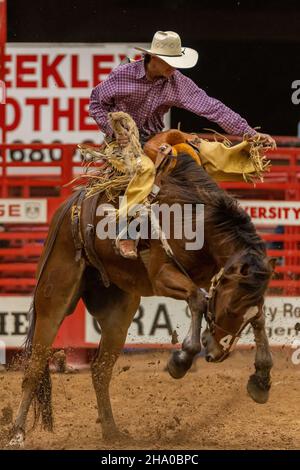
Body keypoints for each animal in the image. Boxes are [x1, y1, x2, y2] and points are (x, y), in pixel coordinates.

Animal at [8, 152, 276, 446]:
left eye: (243, 315)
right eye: (230, 309)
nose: (217, 354)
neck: (196, 217)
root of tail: (69, 208)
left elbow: (256, 317)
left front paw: (261, 378)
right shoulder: (162, 275)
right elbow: (197, 299)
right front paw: (181, 359)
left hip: (118, 311)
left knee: (100, 370)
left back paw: (112, 431)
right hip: (54, 298)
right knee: (34, 367)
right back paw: (17, 433)